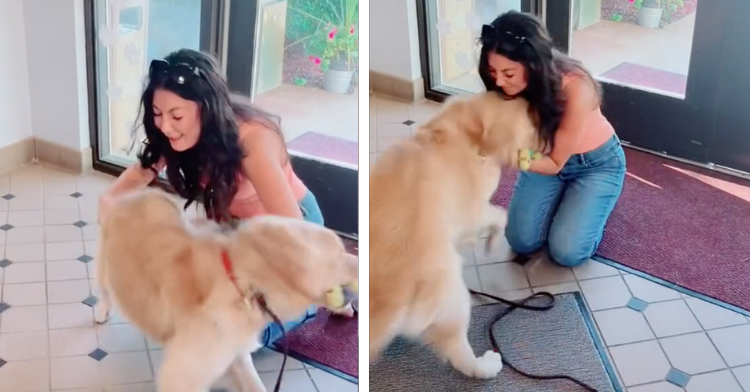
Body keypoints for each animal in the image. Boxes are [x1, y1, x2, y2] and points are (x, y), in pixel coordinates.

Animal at [95, 188, 360, 390]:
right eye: (339, 251)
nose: (362, 260)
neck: (245, 285)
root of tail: (139, 193)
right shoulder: (182, 374)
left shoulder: (236, 355)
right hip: (105, 263)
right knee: (105, 289)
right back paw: (101, 310)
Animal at [370, 92, 540, 380]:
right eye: (532, 125)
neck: (471, 130)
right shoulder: (474, 211)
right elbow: (501, 216)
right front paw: (492, 244)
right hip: (455, 299)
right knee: (462, 356)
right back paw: (489, 364)